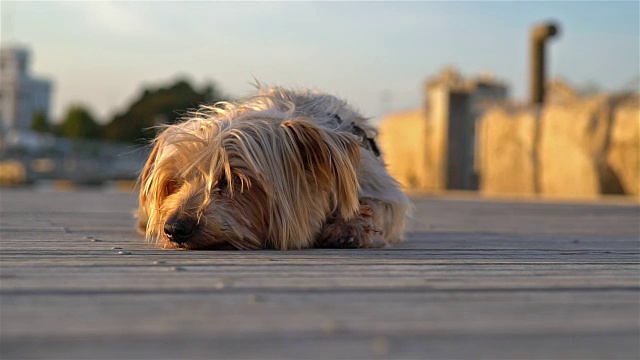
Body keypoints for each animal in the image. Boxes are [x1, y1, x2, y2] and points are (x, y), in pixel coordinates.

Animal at [138, 86, 412, 249]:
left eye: (233, 180)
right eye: (174, 182)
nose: (174, 228)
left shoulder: (378, 186)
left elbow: (381, 206)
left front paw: (350, 225)